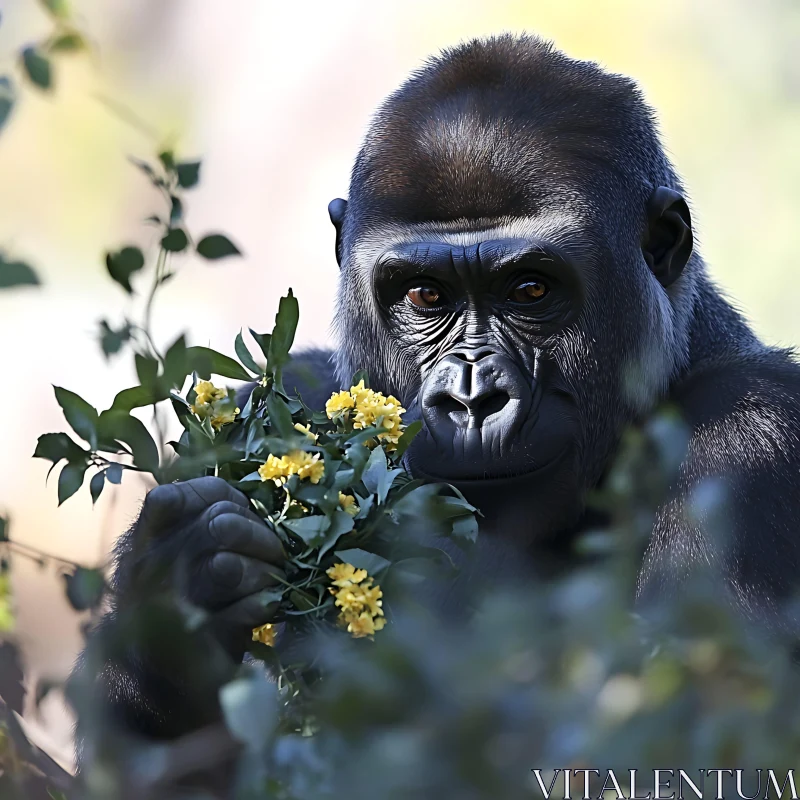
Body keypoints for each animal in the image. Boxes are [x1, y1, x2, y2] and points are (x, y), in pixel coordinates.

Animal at [72, 34, 800, 740]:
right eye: (425, 295)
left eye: (531, 290)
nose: (471, 399)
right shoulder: (276, 400)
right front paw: (176, 598)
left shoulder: (752, 439)